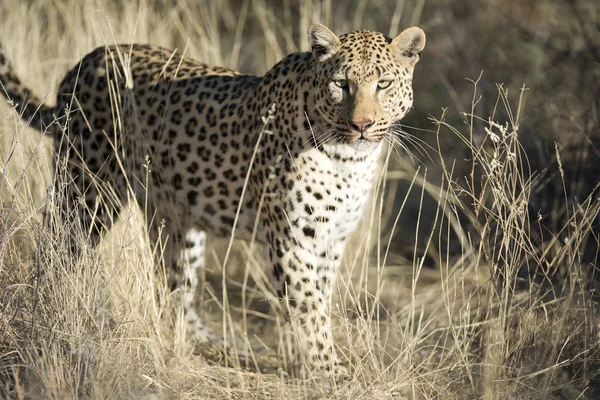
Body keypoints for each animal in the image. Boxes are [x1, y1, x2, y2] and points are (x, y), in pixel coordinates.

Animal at [0, 22, 424, 378]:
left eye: (384, 84)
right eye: (341, 84)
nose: (361, 124)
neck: (349, 160)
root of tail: (81, 65)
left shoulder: (330, 241)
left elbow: (314, 300)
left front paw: (305, 364)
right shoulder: (292, 238)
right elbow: (308, 306)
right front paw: (327, 370)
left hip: (175, 219)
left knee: (175, 286)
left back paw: (209, 340)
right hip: (87, 190)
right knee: (57, 249)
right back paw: (52, 313)